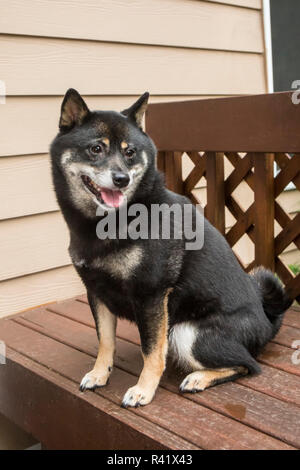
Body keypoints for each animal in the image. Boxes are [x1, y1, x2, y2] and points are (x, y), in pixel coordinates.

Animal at [50, 89, 292, 408]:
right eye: (95, 149)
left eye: (130, 152)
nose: (122, 179)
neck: (110, 224)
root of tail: (267, 324)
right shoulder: (97, 292)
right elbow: (105, 341)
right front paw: (99, 373)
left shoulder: (151, 294)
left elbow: (151, 351)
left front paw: (143, 390)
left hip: (185, 333)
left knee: (248, 365)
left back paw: (198, 378)